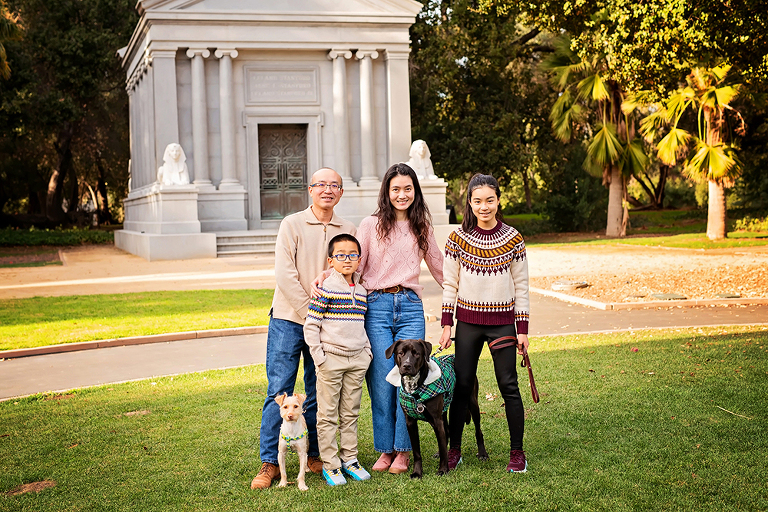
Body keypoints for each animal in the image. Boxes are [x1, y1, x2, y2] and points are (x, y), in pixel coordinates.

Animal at [384, 338, 486, 478]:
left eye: (416, 354)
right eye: (401, 353)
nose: (406, 365)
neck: (414, 388)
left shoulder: (436, 421)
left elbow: (443, 449)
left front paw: (443, 469)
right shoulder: (410, 422)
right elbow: (417, 452)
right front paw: (417, 472)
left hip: (472, 403)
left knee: (478, 430)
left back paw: (482, 454)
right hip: (443, 411)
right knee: (447, 431)